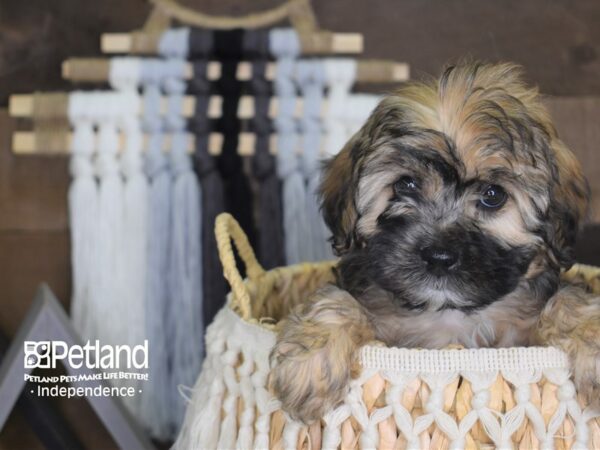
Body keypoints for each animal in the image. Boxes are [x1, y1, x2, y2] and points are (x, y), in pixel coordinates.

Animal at [272, 59, 600, 422]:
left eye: (493, 195)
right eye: (406, 185)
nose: (439, 257)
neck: (448, 313)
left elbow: (569, 298)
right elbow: (335, 299)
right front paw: (310, 363)